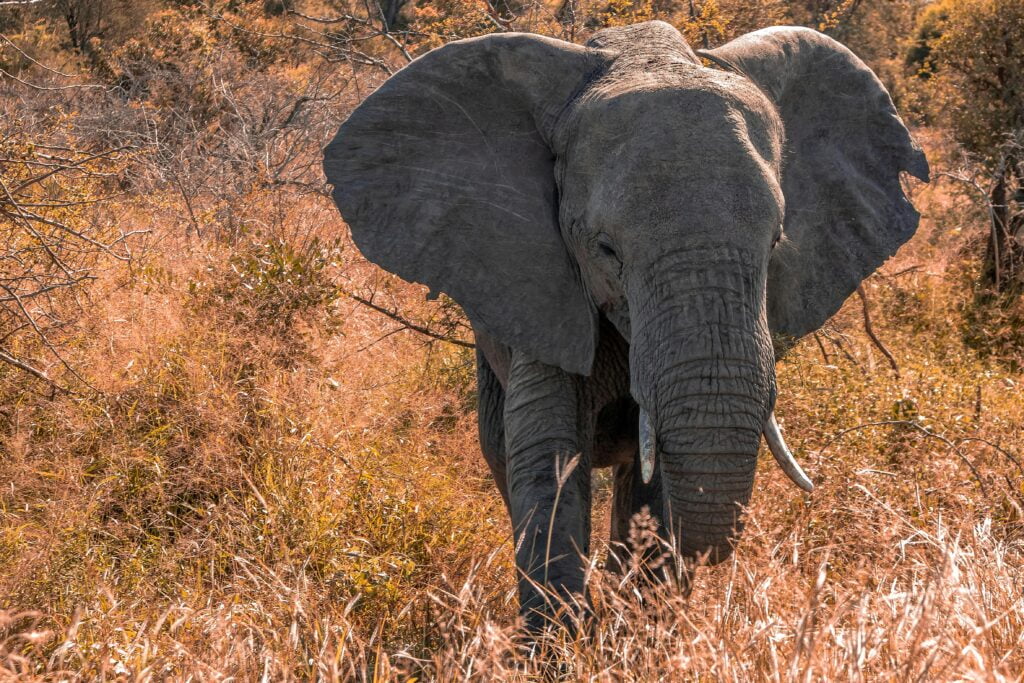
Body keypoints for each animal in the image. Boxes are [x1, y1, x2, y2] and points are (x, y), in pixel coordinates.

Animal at [323, 20, 928, 629]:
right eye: (606, 249)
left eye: (777, 241)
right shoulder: (540, 285)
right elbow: (549, 454)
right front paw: (561, 640)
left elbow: (652, 478)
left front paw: (641, 629)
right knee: (501, 448)